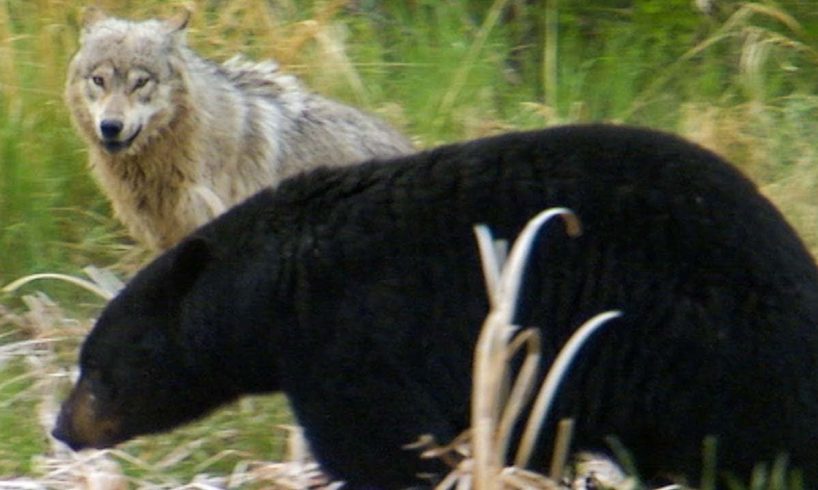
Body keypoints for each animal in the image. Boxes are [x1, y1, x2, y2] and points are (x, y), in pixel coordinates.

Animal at [51, 127, 816, 490]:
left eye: (95, 369)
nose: (60, 427)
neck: (275, 288)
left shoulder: (355, 335)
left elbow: (382, 448)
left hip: (708, 352)